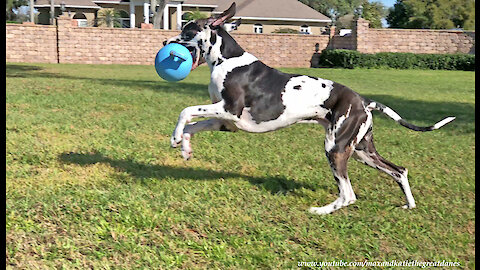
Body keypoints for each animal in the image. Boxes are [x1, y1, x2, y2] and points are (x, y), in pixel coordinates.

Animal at [164, 1, 454, 214]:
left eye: (188, 30)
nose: (165, 44)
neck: (226, 60)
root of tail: (363, 101)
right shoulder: (225, 122)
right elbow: (192, 125)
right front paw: (184, 146)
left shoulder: (229, 110)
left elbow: (185, 111)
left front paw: (176, 137)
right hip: (362, 151)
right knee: (399, 171)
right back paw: (409, 204)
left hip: (336, 148)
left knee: (348, 194)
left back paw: (321, 211)